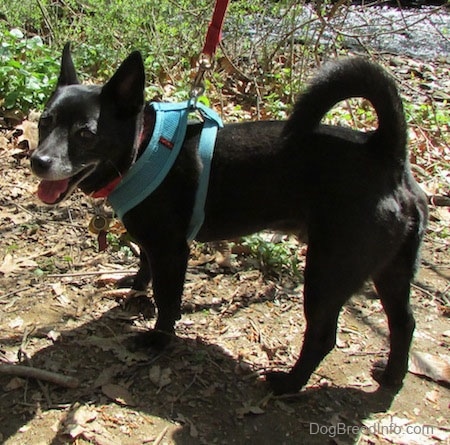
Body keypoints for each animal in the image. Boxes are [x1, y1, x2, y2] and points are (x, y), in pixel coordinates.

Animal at [29, 45, 428, 392]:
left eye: (86, 133)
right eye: (44, 122)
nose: (38, 161)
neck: (141, 149)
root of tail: (386, 154)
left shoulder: (172, 252)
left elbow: (168, 300)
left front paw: (158, 339)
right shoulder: (154, 243)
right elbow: (145, 264)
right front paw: (136, 287)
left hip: (328, 272)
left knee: (323, 336)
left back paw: (288, 384)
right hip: (391, 269)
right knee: (404, 323)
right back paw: (392, 377)